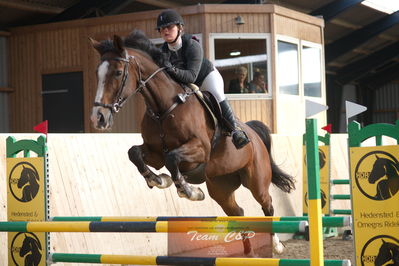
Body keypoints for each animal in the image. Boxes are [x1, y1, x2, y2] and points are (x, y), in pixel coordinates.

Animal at [90, 29, 296, 256]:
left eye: (118, 72)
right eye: (97, 73)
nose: (98, 118)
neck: (164, 108)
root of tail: (254, 134)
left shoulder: (199, 150)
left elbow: (172, 160)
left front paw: (189, 191)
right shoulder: (154, 153)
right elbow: (134, 153)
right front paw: (158, 180)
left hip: (256, 180)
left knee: (267, 204)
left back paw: (276, 245)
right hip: (221, 186)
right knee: (238, 211)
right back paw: (249, 252)